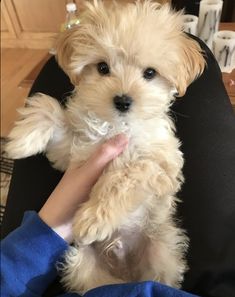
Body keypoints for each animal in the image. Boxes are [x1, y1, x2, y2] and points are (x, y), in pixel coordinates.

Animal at [6, 0, 205, 292]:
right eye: (102, 67)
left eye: (150, 73)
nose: (122, 100)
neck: (116, 126)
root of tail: (125, 269)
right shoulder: (74, 152)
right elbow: (49, 111)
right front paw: (20, 140)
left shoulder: (162, 165)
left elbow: (126, 174)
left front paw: (95, 217)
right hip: (80, 262)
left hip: (163, 250)